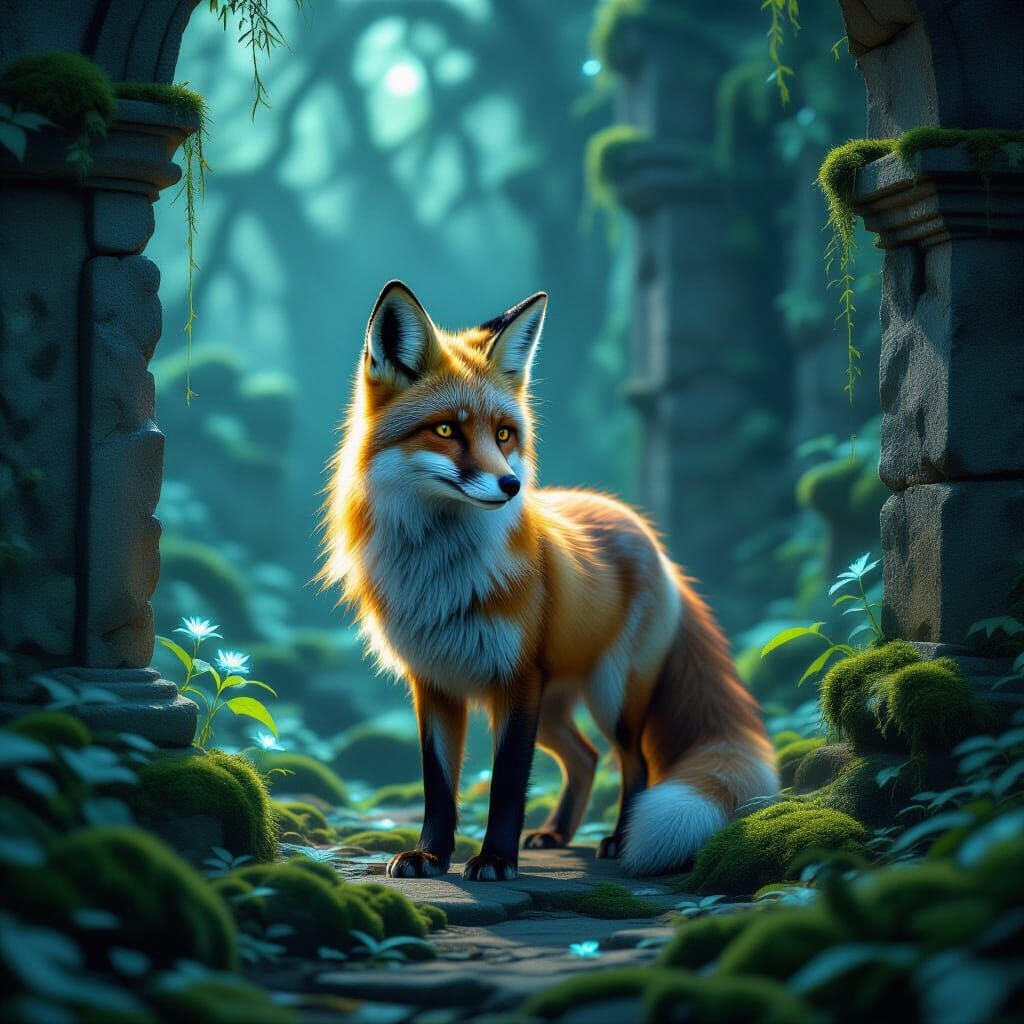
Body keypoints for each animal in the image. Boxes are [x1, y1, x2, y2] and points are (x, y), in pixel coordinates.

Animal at [319, 280, 779, 882]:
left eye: (504, 434)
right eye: (445, 429)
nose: (511, 485)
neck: (440, 577)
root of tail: (645, 532)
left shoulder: (516, 681)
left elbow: (508, 784)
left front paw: (494, 859)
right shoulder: (435, 682)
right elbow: (438, 786)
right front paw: (430, 856)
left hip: (611, 695)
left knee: (632, 760)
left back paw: (619, 838)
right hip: (556, 706)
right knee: (585, 758)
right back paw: (556, 832)